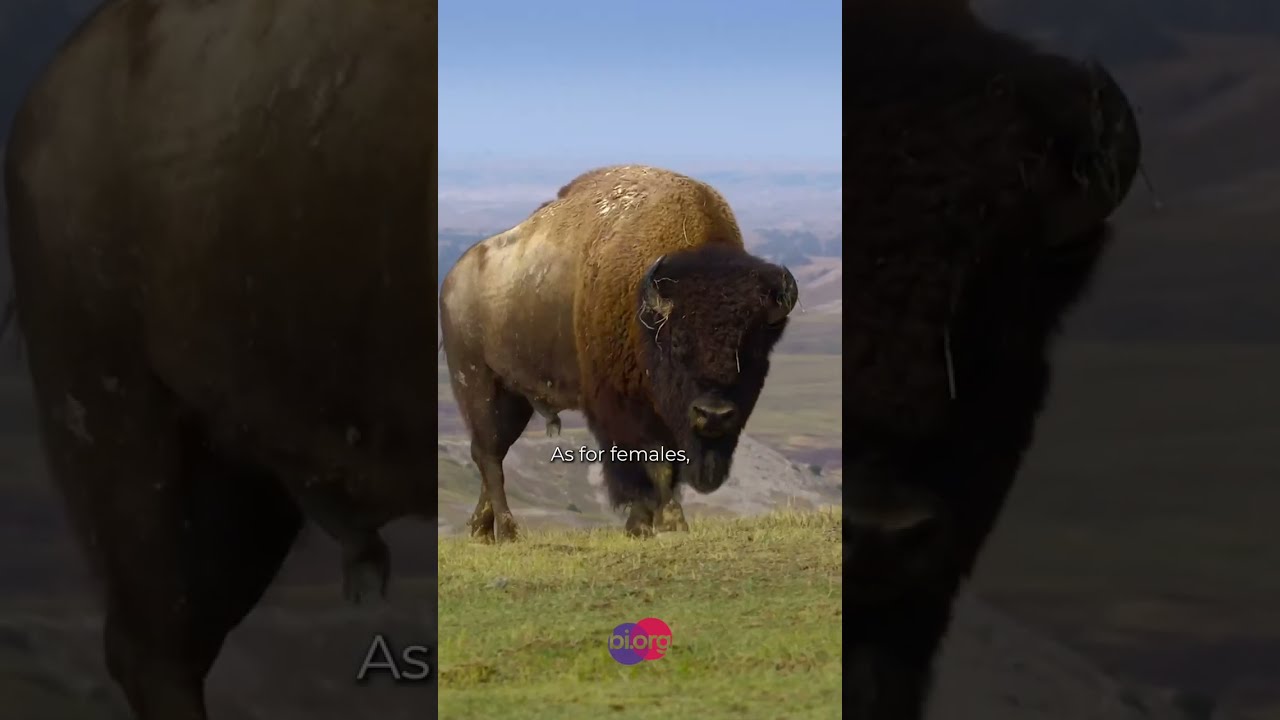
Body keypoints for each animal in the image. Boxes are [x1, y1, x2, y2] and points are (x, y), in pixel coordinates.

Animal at [439, 165, 799, 542]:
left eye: (754, 347)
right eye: (677, 343)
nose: (713, 415)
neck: (647, 313)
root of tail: (452, 278)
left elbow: (668, 466)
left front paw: (651, 522)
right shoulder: (622, 409)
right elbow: (652, 463)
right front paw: (662, 522)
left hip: (515, 397)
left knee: (492, 451)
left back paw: (482, 530)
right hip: (476, 381)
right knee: (489, 454)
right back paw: (508, 531)